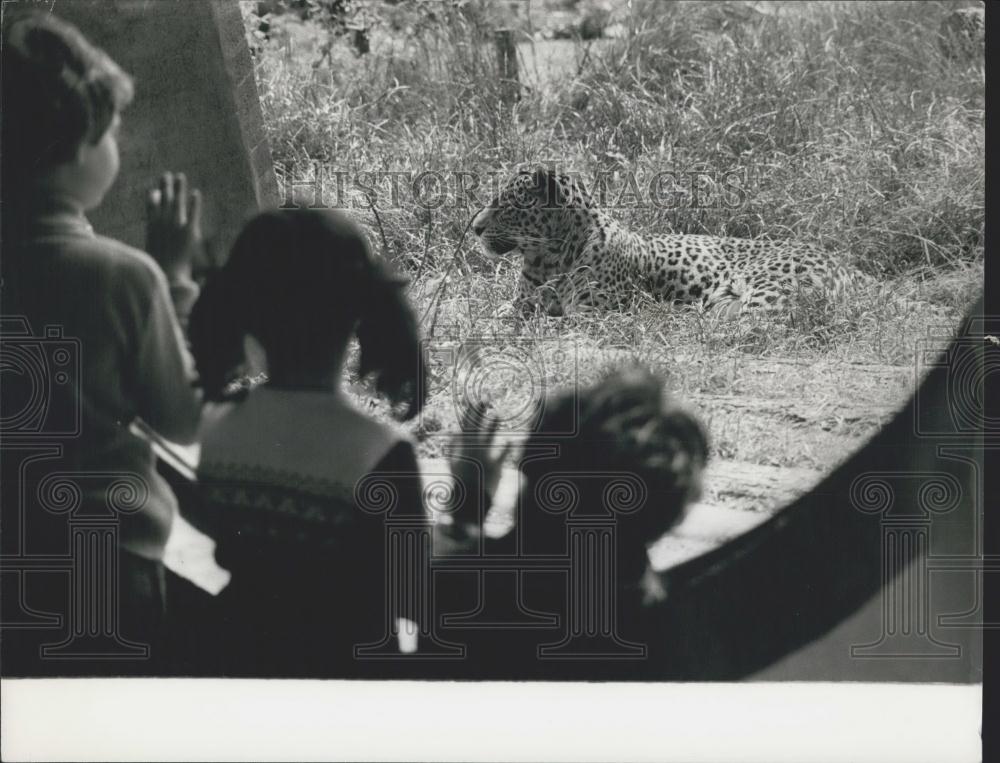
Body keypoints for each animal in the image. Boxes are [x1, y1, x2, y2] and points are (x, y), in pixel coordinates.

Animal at [470, 167, 884, 320]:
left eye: (506, 204)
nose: (473, 227)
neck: (547, 259)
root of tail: (847, 265)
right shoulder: (519, 302)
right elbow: (504, 314)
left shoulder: (595, 315)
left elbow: (550, 322)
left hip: (770, 287)